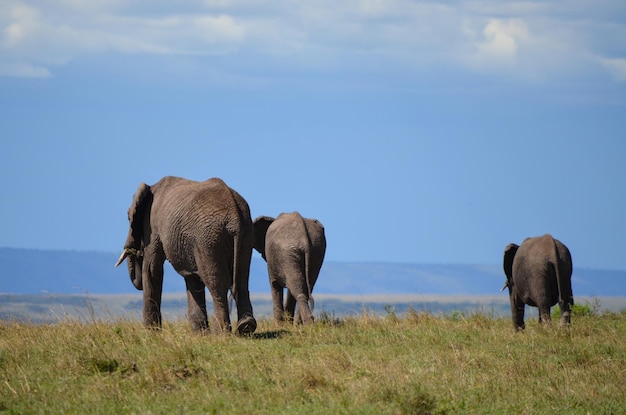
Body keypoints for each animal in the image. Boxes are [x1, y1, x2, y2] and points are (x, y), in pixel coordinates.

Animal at [114, 176, 256, 334]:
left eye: (128, 218)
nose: (135, 251)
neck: (151, 187)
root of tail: (235, 218)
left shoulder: (152, 225)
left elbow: (152, 269)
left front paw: (152, 333)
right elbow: (192, 278)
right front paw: (200, 334)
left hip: (209, 239)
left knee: (217, 283)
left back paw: (221, 333)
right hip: (245, 234)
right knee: (242, 278)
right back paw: (246, 326)